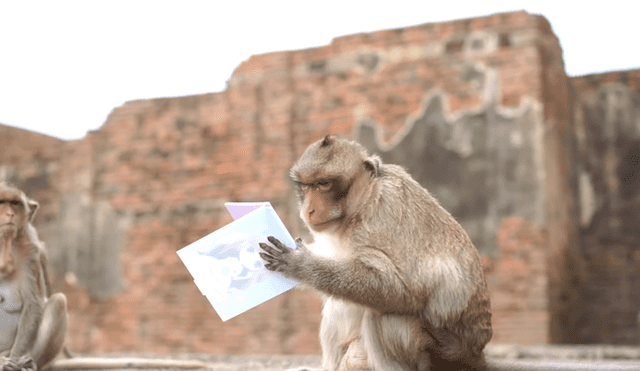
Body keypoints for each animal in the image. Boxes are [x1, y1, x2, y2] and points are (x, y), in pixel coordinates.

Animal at [0, 183, 68, 371]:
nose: (10, 214)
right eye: (1, 202)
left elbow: (32, 303)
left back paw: (26, 362)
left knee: (58, 301)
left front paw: (14, 361)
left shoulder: (30, 251)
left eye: (14, 203)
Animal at [258, 135, 492, 370]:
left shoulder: (378, 219)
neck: (362, 202)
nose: (308, 210)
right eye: (305, 186)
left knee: (385, 317)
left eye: (323, 184)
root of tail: (477, 354)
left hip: (444, 355)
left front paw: (298, 264)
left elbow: (398, 291)